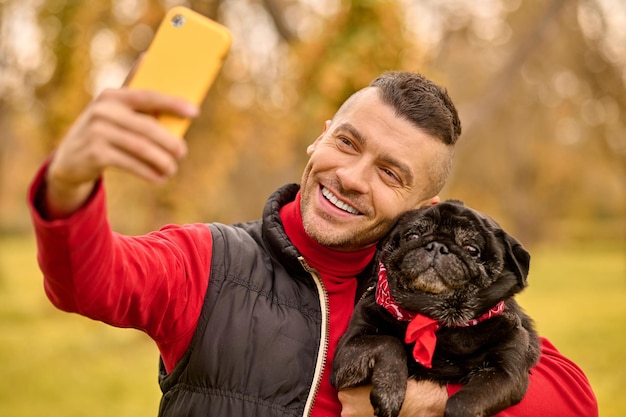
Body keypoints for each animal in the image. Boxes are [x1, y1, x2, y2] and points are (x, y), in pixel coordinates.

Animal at [330, 198, 540, 416]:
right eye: (412, 236)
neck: (435, 320)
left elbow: (463, 403)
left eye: (472, 249)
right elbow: (388, 343)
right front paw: (389, 392)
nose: (437, 245)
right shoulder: (349, 348)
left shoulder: (505, 372)